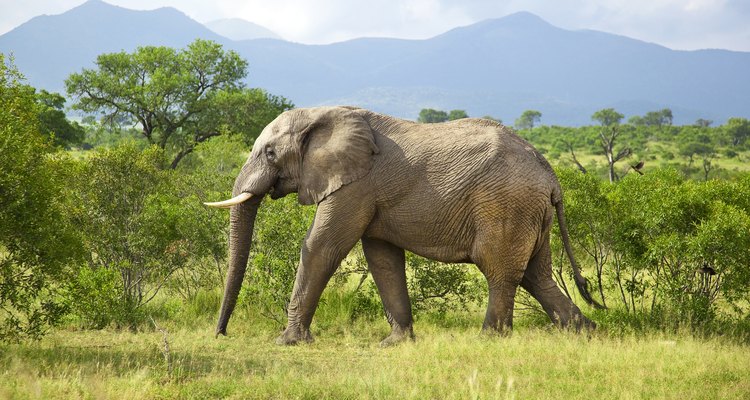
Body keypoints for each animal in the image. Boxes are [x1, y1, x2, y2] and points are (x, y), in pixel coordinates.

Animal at [207, 106, 604, 346]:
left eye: (270, 153)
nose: (221, 334)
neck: (322, 113)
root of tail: (550, 175)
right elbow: (382, 259)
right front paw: (395, 344)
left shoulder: (355, 185)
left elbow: (321, 246)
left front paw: (288, 342)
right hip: (531, 213)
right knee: (536, 274)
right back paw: (585, 333)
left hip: (506, 206)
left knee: (501, 271)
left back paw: (490, 339)